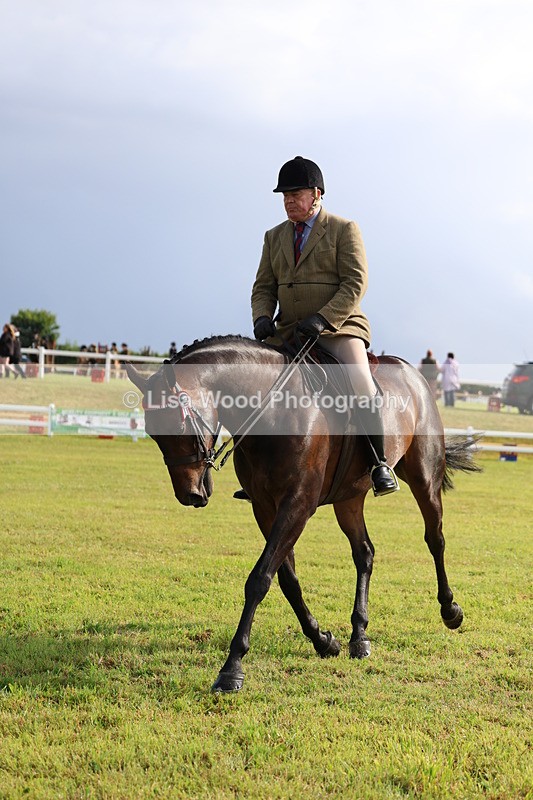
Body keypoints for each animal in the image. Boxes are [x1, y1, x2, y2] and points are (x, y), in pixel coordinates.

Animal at [125, 335, 480, 693]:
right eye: (153, 433)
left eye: (179, 425)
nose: (190, 495)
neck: (273, 410)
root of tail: (413, 373)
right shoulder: (265, 507)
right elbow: (286, 579)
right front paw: (323, 640)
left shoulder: (297, 504)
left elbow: (259, 579)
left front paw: (232, 668)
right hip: (349, 497)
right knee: (364, 553)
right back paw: (359, 636)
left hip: (424, 477)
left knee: (435, 539)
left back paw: (450, 609)